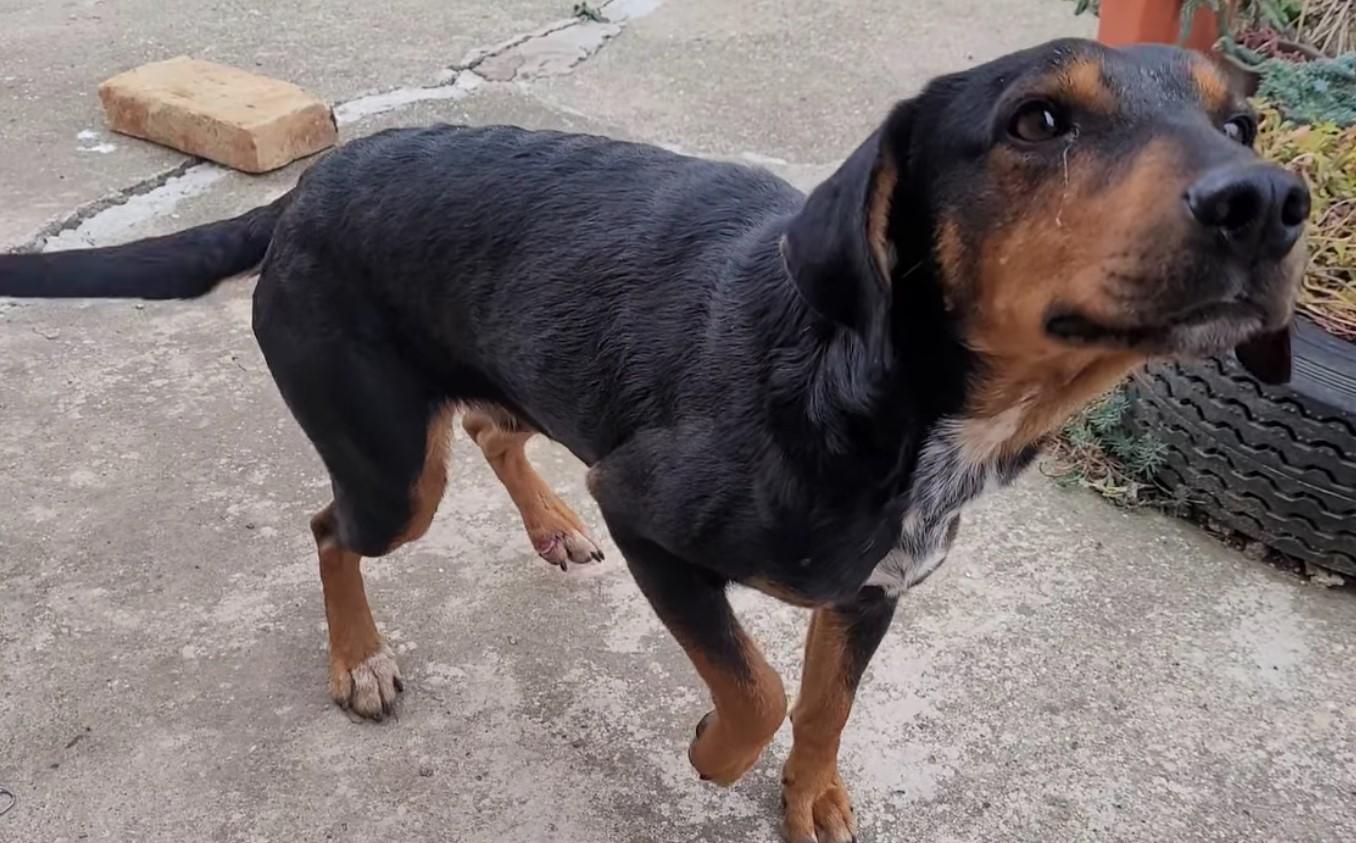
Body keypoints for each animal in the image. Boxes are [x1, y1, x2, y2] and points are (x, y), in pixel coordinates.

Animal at [1, 38, 1308, 842]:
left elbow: (823, 708)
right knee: (330, 526)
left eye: (1241, 119)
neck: (883, 397)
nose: (1272, 203)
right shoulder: (648, 515)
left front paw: (809, 798)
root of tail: (304, 191)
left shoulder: (873, 593)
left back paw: (546, 527)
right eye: (1040, 121)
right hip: (391, 473)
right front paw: (711, 761)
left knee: (492, 427)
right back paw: (358, 660)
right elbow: (759, 688)